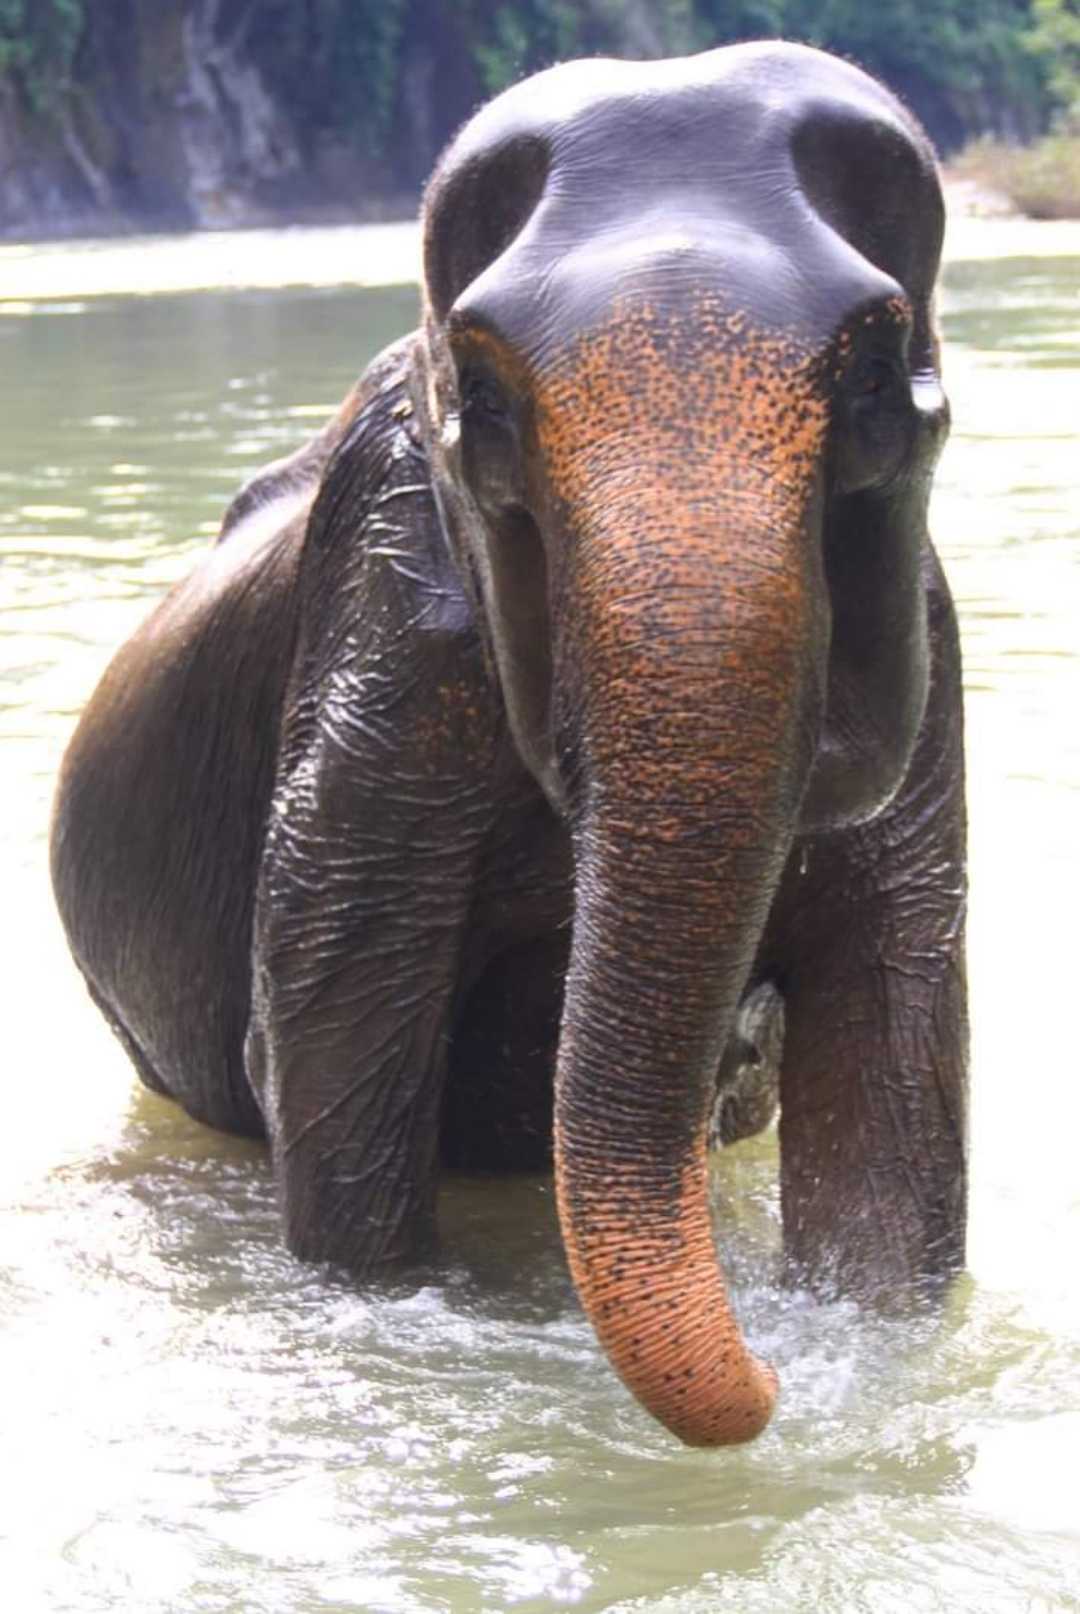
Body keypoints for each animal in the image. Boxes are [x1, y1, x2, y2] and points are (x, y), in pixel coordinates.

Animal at [50, 41, 968, 1448]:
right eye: (480, 401)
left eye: (877, 380)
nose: (768, 1379)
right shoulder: (383, 644)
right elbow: (332, 1047)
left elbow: (893, 1060)